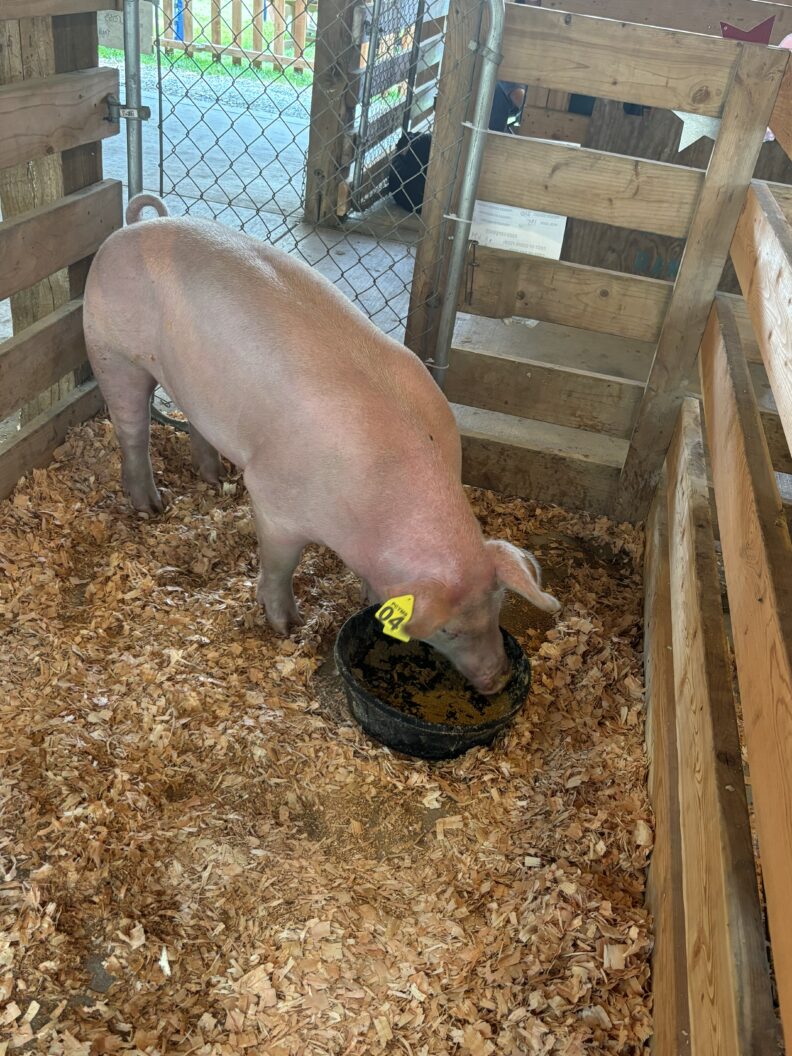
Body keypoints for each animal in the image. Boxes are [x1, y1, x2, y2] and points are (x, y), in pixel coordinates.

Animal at [83, 193, 560, 694]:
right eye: (447, 630)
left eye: (498, 605)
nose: (496, 680)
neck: (381, 496)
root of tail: (130, 229)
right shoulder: (273, 498)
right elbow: (280, 565)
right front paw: (287, 627)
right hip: (110, 349)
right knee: (131, 428)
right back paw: (151, 507)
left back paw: (214, 480)